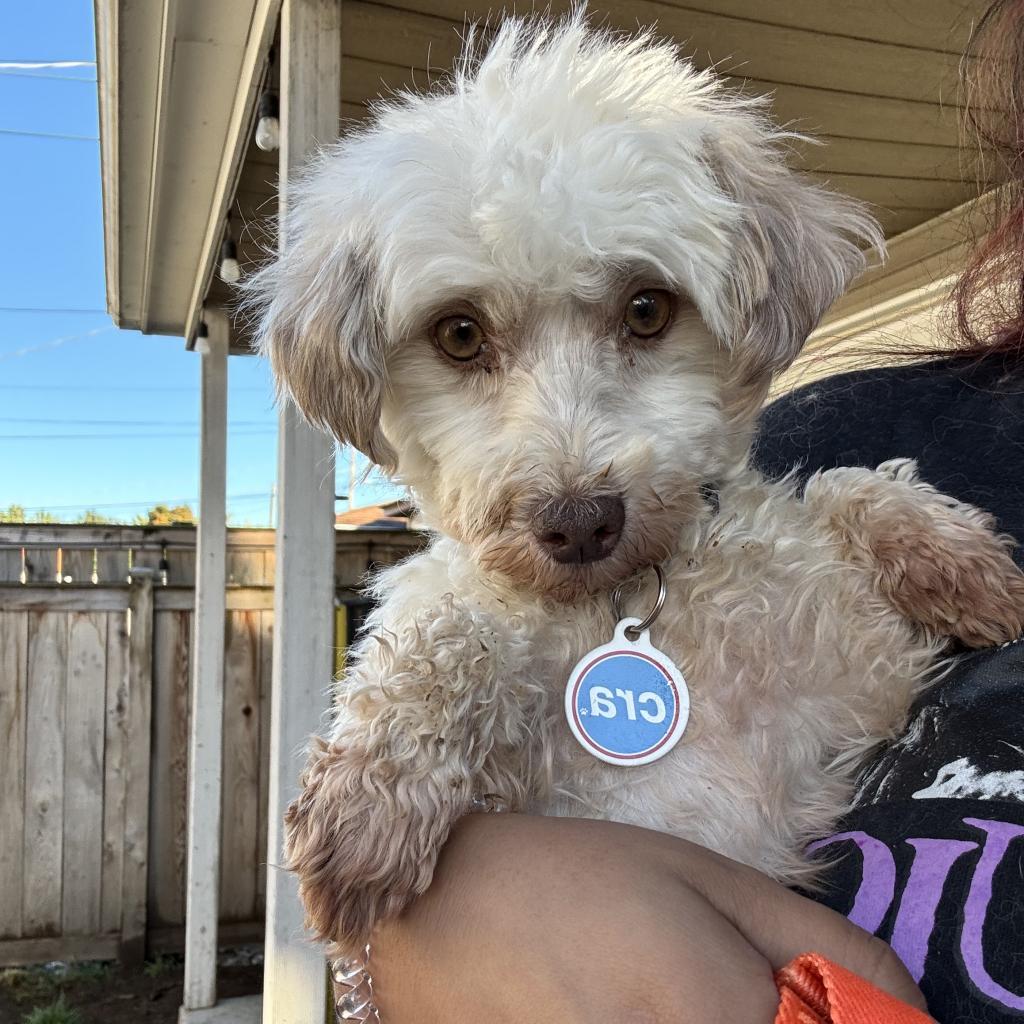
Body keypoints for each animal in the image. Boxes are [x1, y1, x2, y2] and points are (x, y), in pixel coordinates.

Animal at [245, 16, 1024, 954]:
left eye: (648, 309)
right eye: (459, 334)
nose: (579, 522)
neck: (628, 600)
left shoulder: (854, 688)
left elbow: (847, 489)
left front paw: (964, 565)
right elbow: (444, 631)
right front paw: (368, 791)